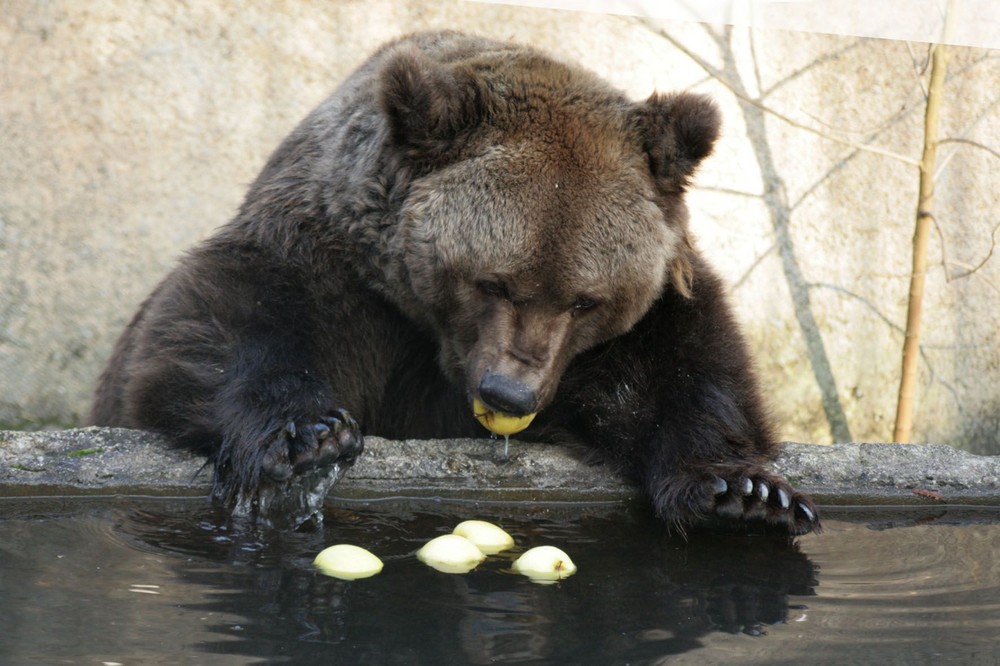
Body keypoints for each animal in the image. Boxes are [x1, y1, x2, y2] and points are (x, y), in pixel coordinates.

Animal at [90, 31, 820, 536]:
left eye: (586, 300)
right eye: (493, 283)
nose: (510, 392)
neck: (433, 335)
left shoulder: (649, 310)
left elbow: (685, 369)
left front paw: (746, 494)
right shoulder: (332, 267)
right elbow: (223, 325)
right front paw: (306, 439)